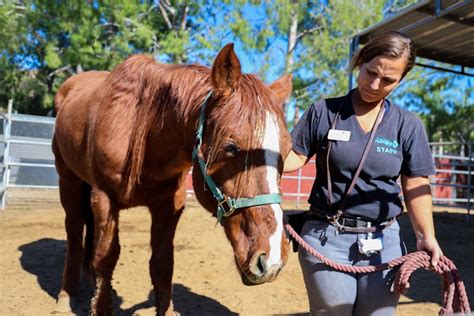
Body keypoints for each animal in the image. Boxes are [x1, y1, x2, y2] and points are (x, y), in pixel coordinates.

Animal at [51, 43, 292, 314]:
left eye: (286, 151)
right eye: (231, 147)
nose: (271, 260)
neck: (142, 131)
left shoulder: (169, 205)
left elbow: (162, 265)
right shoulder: (104, 198)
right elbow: (106, 257)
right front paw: (100, 307)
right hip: (67, 179)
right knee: (74, 231)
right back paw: (66, 294)